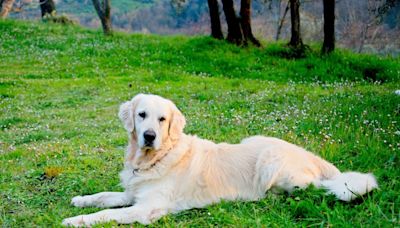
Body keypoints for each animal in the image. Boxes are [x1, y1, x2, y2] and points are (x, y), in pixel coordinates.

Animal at [62, 93, 378, 225]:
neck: (155, 158)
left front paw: (74, 220)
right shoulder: (133, 194)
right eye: (142, 115)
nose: (149, 136)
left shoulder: (147, 208)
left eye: (162, 119)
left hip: (273, 162)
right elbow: (104, 197)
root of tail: (316, 157)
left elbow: (106, 215)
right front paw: (80, 200)